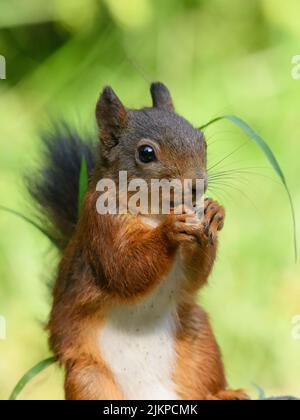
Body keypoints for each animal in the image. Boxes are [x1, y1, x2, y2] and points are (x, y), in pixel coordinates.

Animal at [28, 82, 248, 400]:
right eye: (146, 153)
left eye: (202, 141)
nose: (198, 186)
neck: (153, 213)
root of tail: (150, 395)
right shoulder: (101, 224)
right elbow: (123, 269)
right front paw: (170, 229)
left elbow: (194, 277)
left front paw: (214, 211)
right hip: (88, 377)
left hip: (199, 344)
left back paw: (223, 394)